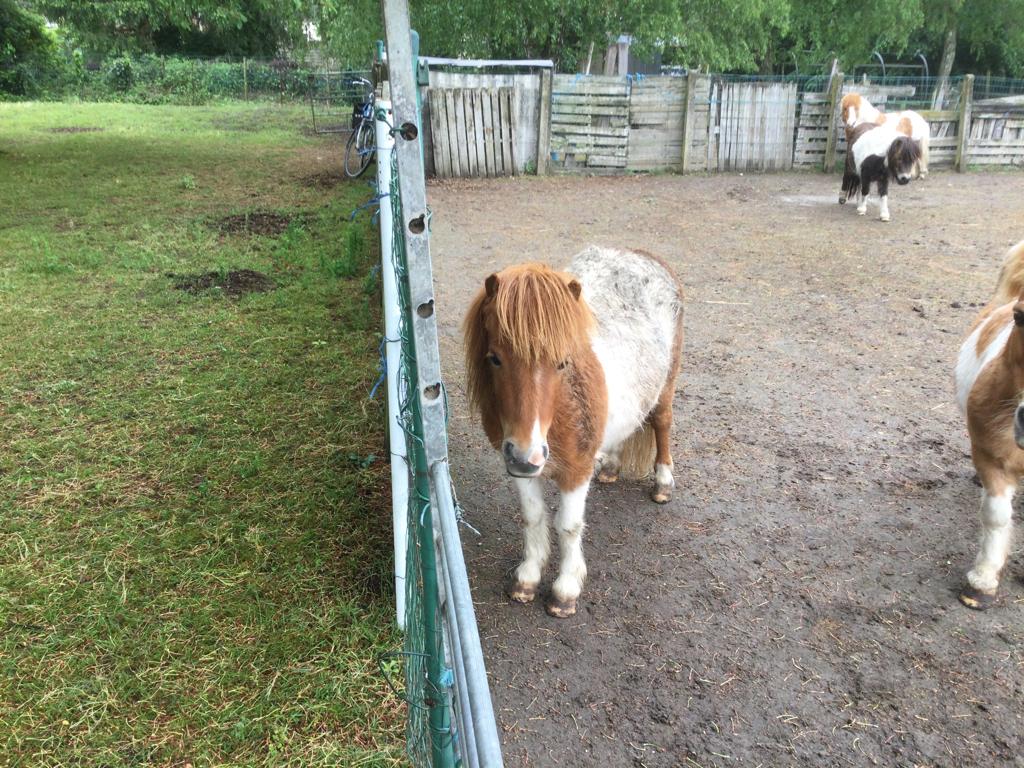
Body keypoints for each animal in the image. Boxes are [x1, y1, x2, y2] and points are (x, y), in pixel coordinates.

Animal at [463, 246, 684, 617]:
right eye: (494, 358)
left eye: (563, 363)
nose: (525, 453)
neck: (558, 412)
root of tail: (643, 255)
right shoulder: (522, 471)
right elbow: (533, 518)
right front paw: (527, 579)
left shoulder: (577, 471)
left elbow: (568, 526)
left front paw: (565, 591)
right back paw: (610, 468)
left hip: (665, 388)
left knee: (662, 423)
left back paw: (663, 484)